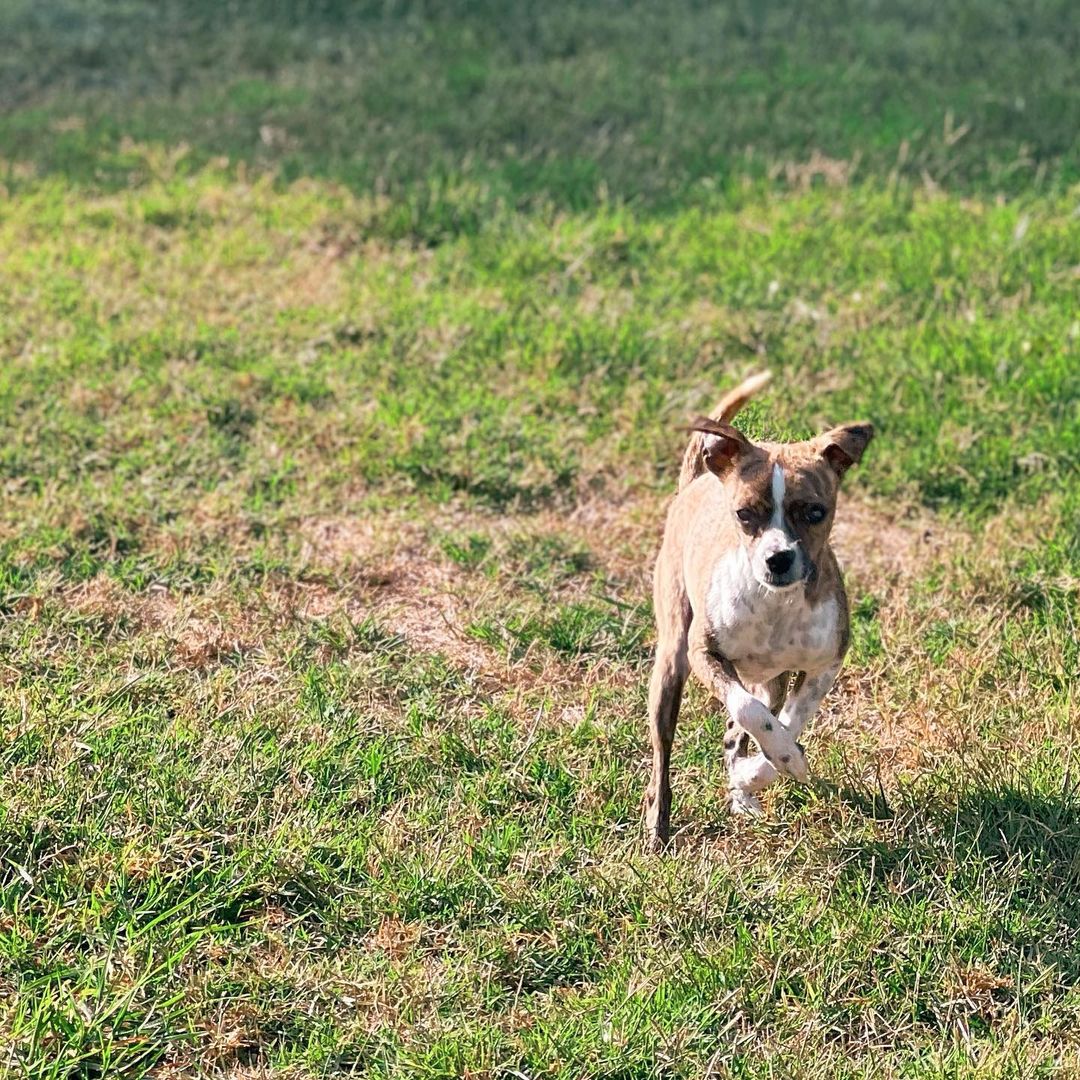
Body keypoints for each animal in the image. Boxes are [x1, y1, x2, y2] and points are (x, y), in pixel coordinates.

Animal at [643, 375, 872, 846]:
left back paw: (742, 792)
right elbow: (750, 711)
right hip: (672, 660)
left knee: (740, 732)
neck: (776, 606)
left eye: (816, 512)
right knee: (667, 749)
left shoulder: (824, 666)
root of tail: (696, 482)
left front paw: (771, 766)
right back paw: (658, 824)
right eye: (744, 514)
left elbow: (784, 723)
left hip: (771, 679)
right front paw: (778, 761)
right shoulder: (704, 654)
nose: (778, 558)